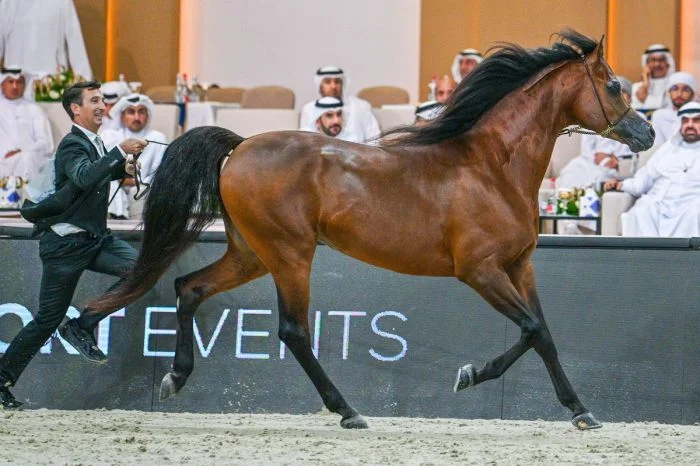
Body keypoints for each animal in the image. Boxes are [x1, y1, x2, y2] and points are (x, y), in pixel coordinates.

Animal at [86, 30, 654, 430]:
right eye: (613, 86)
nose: (646, 132)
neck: (492, 166)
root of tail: (239, 146)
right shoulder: (480, 271)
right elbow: (532, 329)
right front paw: (470, 376)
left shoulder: (520, 267)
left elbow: (544, 334)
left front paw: (579, 410)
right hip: (289, 254)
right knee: (293, 330)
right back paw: (347, 410)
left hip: (251, 253)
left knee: (189, 288)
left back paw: (175, 377)